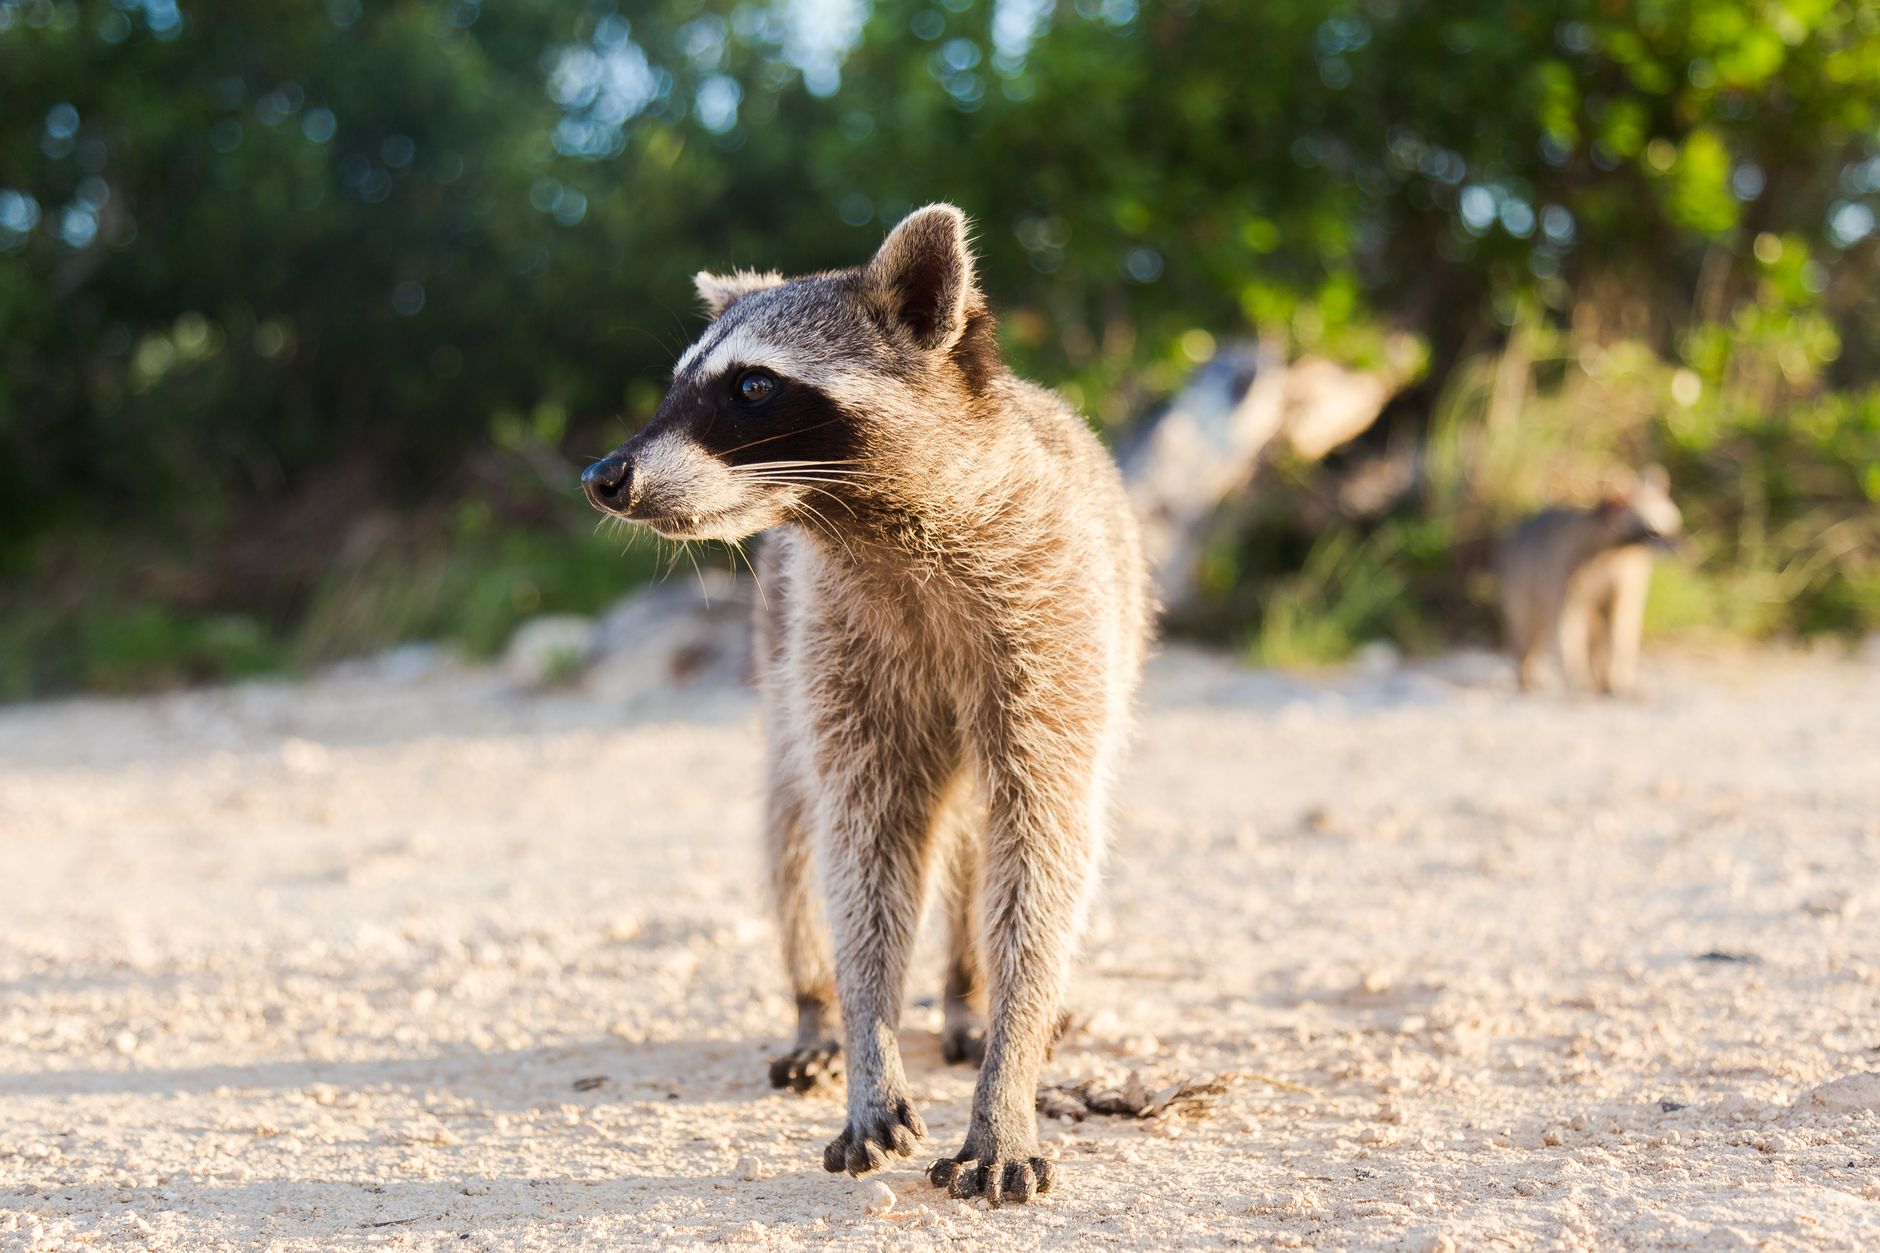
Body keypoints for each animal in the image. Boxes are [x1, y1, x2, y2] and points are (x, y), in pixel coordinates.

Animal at [582, 205, 1150, 1206]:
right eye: (678, 383)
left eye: (753, 385)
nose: (605, 476)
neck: (881, 528)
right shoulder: (836, 645)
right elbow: (862, 845)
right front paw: (864, 1036)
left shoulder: (1054, 624)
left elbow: (1043, 850)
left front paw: (1009, 1076)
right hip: (779, 668)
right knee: (791, 827)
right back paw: (814, 1006)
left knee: (975, 842)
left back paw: (966, 994)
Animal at [1497, 465, 1681, 696]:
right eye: (1652, 531)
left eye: (1675, 525)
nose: (1678, 546)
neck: (1615, 551)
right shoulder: (1562, 568)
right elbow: (1567, 625)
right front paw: (1577, 678)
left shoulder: (1627, 577)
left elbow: (1623, 627)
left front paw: (1619, 678)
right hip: (1521, 580)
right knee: (1528, 628)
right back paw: (1526, 673)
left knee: (1595, 632)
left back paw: (1601, 676)